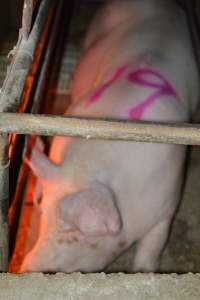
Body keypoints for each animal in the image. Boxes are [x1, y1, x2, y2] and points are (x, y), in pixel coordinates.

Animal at [19, 0, 199, 272]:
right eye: (44, 215)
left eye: (77, 235)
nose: (24, 269)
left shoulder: (168, 204)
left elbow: (151, 248)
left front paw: (143, 270)